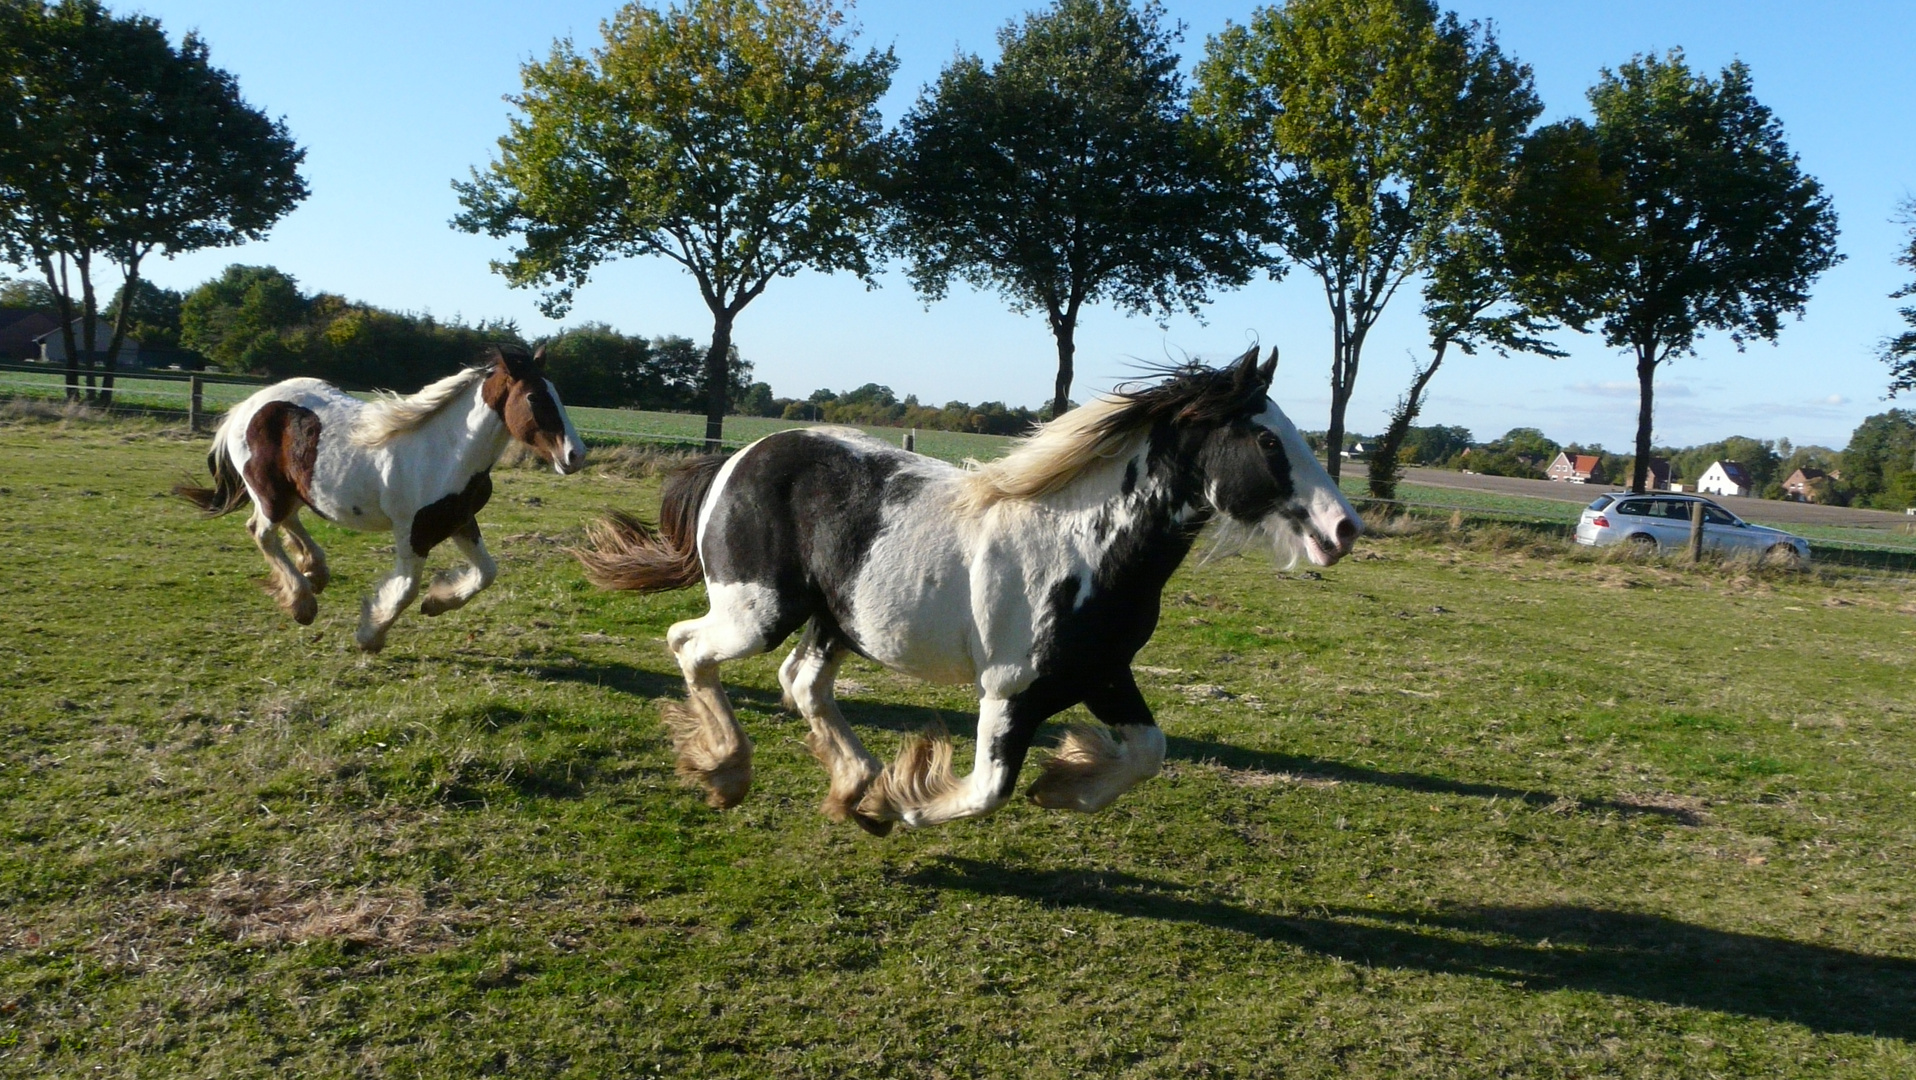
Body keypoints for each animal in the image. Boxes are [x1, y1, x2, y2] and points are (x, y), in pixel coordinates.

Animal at [179, 346, 582, 651]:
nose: (576, 455)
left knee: (286, 523)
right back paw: (302, 603)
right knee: (262, 532)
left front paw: (437, 603)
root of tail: (248, 406)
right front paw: (369, 635)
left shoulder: (459, 521)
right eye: (534, 397)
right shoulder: (412, 533)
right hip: (270, 493)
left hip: (293, 491)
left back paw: (316, 571)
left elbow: (487, 573)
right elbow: (405, 590)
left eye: (558, 395)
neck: (445, 452)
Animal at [582, 348, 1364, 834]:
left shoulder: (1104, 673)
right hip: (757, 611)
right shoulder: (1010, 689)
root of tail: (735, 459)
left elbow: (1149, 751)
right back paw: (730, 774)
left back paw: (852, 782)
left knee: (801, 683)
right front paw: (896, 806)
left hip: (836, 619)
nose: (1344, 529)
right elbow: (987, 792)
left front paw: (1064, 784)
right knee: (690, 647)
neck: (1084, 549)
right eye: (1268, 442)